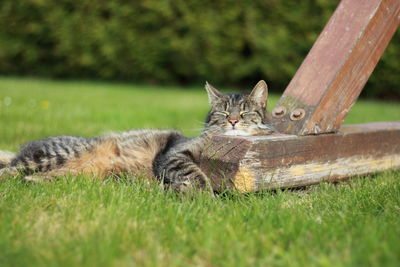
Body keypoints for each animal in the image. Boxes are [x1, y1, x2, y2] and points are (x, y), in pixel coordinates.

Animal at [0, 81, 276, 193]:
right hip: (55, 155)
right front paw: (204, 195)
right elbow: (196, 174)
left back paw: (34, 181)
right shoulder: (174, 154)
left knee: (37, 176)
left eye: (245, 112)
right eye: (223, 113)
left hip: (79, 175)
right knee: (10, 169)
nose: (233, 121)